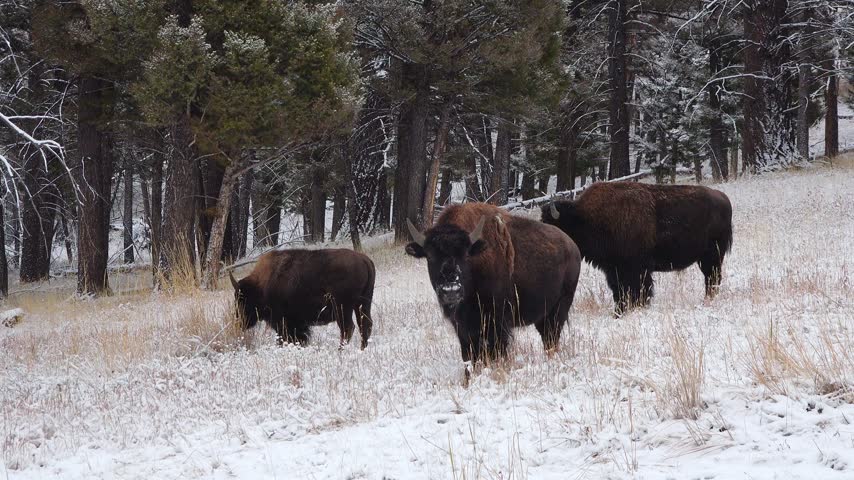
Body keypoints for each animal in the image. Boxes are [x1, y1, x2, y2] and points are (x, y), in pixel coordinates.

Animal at [230, 249, 375, 349]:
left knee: (348, 328)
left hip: (343, 308)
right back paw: (362, 349)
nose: (239, 321)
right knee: (365, 325)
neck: (261, 285)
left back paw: (340, 351)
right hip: (363, 304)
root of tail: (364, 260)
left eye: (242, 299)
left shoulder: (285, 322)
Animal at [406, 203, 581, 367]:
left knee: (551, 337)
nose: (451, 290)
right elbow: (469, 356)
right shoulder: (463, 328)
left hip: (559, 309)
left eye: (465, 255)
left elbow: (496, 351)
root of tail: (573, 247)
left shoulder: (497, 323)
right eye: (429, 256)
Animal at [542, 181, 732, 314]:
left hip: (712, 256)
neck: (585, 219)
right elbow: (619, 291)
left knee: (712, 277)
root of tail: (724, 199)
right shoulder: (614, 269)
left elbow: (638, 289)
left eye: (553, 224)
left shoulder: (637, 268)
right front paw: (620, 311)